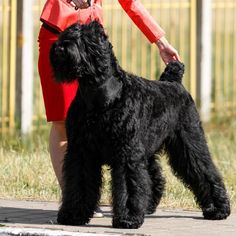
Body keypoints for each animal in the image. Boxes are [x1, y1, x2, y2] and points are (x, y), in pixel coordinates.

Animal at [50, 20, 230, 229]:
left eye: (85, 38)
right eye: (65, 33)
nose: (60, 48)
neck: (97, 95)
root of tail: (174, 82)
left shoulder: (126, 153)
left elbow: (128, 184)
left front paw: (127, 218)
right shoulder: (81, 152)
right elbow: (79, 182)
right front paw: (73, 214)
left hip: (189, 141)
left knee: (204, 170)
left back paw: (218, 209)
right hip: (147, 149)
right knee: (153, 176)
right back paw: (148, 205)